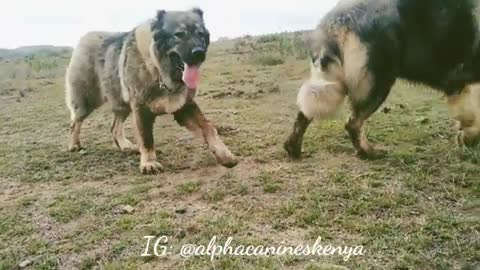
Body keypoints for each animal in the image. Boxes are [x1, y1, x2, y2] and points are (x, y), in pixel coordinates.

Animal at [65, 8, 238, 174]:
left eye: (200, 34)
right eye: (179, 34)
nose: (199, 53)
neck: (159, 71)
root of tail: (86, 36)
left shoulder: (184, 105)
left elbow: (208, 126)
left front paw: (224, 154)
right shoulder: (141, 109)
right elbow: (146, 138)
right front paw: (149, 163)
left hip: (122, 103)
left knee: (114, 128)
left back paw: (125, 146)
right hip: (88, 100)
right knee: (75, 122)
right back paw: (74, 144)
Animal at [284, 0, 480, 158]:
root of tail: (338, 18)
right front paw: (467, 138)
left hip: (328, 82)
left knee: (305, 113)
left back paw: (293, 149)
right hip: (378, 83)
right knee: (353, 123)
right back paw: (369, 153)